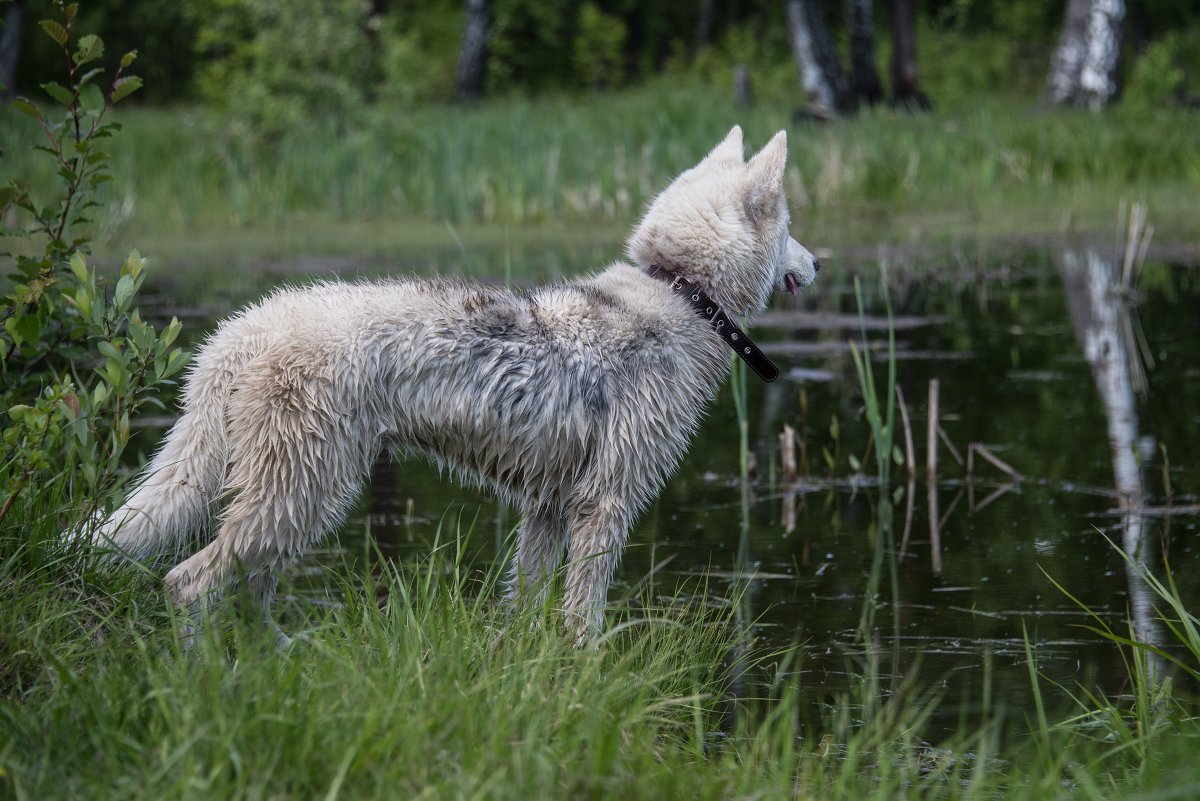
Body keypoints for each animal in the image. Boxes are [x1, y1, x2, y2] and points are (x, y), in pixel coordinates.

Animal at [93, 126, 820, 642]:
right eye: (791, 229)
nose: (818, 262)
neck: (678, 291)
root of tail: (244, 329)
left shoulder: (549, 508)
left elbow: (529, 608)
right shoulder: (605, 505)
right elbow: (583, 621)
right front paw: (586, 679)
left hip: (288, 504)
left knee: (243, 595)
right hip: (302, 496)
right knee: (188, 583)